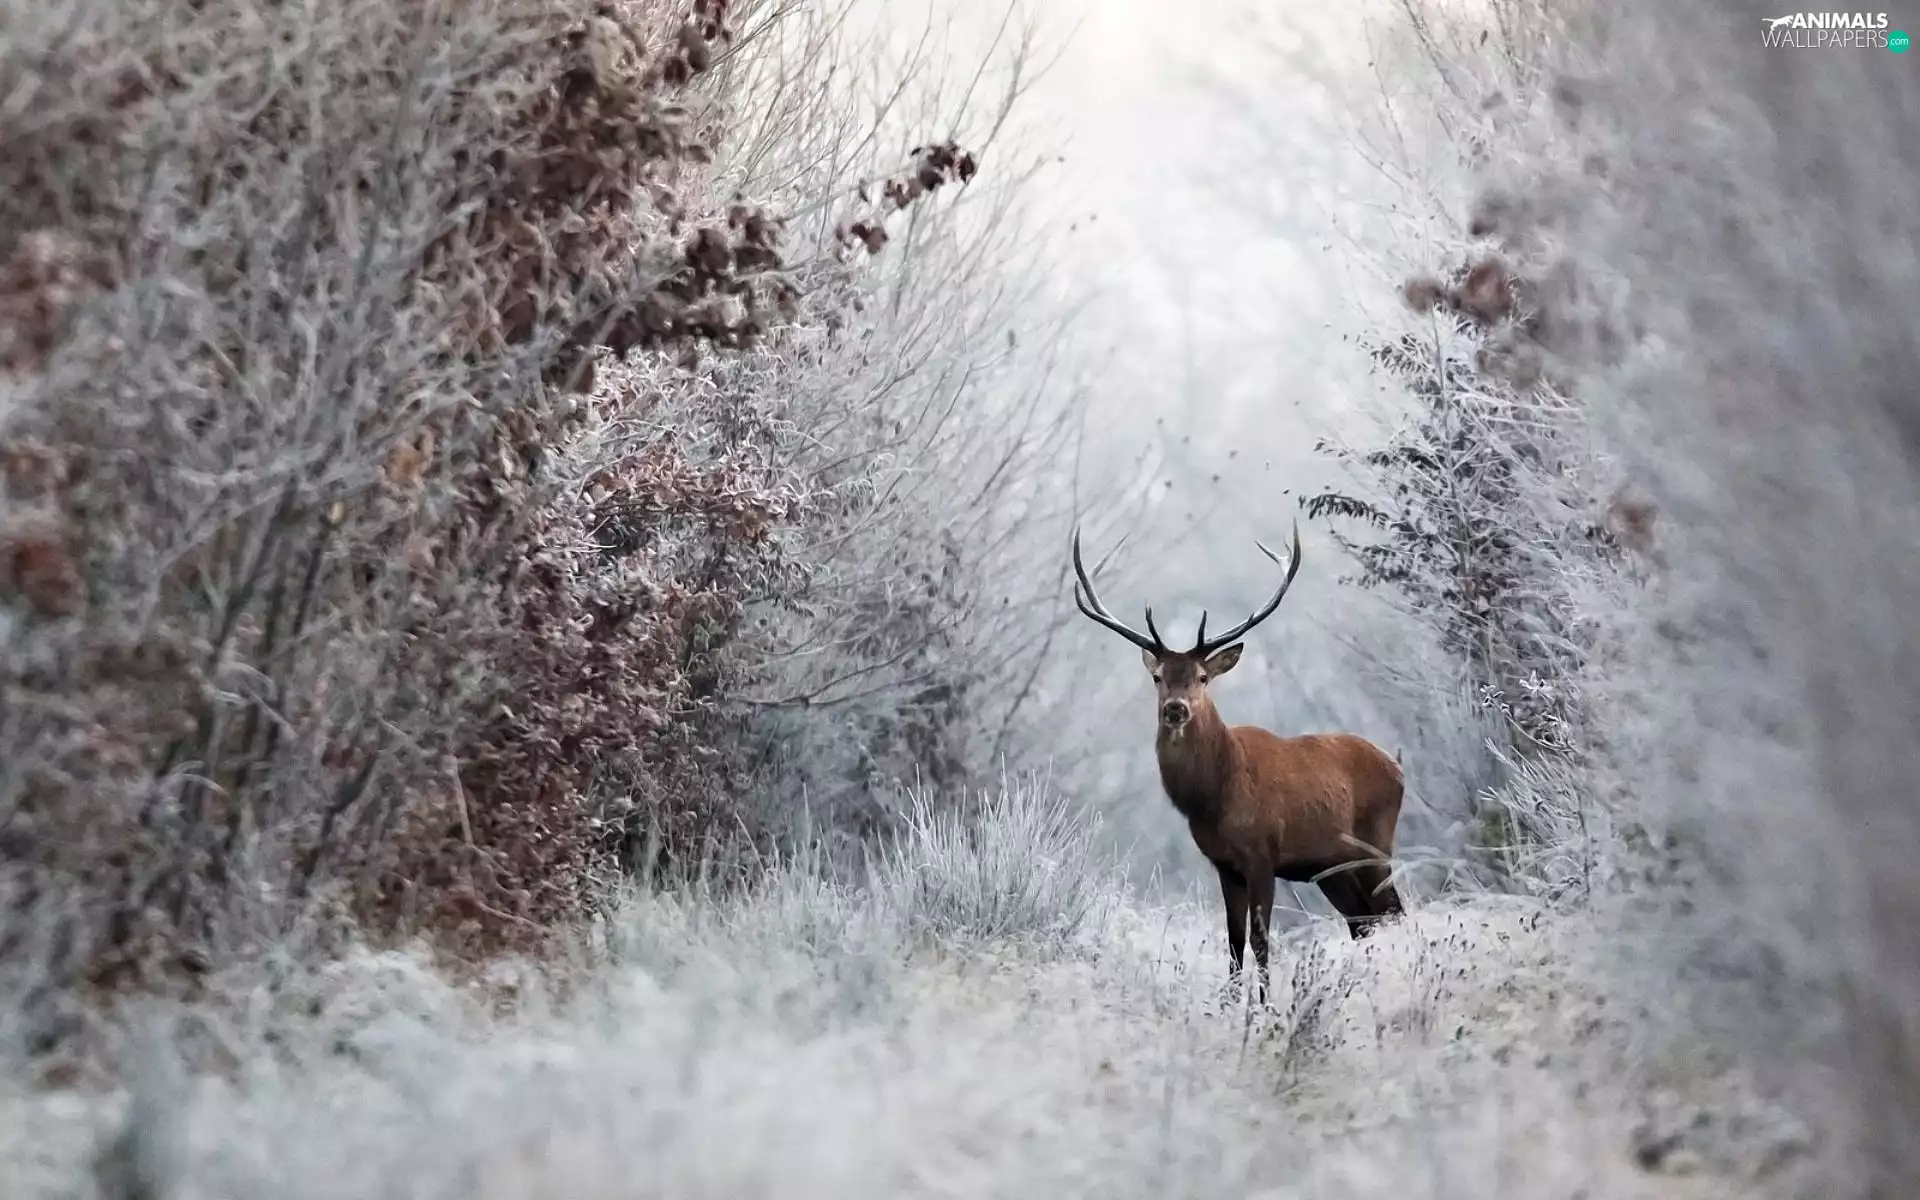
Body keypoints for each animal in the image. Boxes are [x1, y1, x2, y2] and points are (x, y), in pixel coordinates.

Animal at [1070, 519, 1406, 1004]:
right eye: (1158, 677)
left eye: (1202, 677)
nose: (1176, 709)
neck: (1215, 796)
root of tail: (1398, 767)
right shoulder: (1224, 864)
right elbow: (1232, 940)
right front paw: (1229, 1003)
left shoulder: (1263, 852)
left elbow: (1261, 940)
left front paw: (1263, 1007)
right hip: (1332, 869)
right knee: (1365, 922)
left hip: (1376, 845)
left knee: (1393, 912)